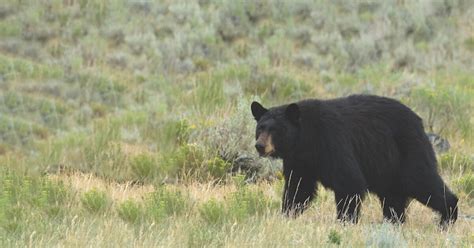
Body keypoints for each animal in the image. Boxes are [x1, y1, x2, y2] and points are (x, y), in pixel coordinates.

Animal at [250, 95, 458, 227]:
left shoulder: (332, 141)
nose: (260, 146)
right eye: (260, 128)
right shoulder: (300, 160)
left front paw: (344, 222)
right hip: (387, 166)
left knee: (421, 181)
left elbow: (349, 181)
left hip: (407, 151)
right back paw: (393, 222)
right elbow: (299, 188)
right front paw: (286, 215)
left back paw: (447, 218)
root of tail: (419, 121)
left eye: (276, 130)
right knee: (393, 196)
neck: (305, 139)